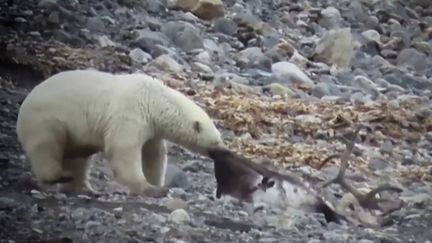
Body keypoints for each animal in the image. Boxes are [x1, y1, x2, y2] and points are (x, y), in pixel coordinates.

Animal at [16, 69, 226, 197]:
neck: (153, 99)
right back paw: (59, 176)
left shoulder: (151, 127)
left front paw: (157, 186)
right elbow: (124, 150)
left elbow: (154, 154)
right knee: (47, 146)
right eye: (216, 141)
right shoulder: (129, 113)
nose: (224, 151)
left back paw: (84, 188)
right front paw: (149, 188)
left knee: (78, 158)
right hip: (46, 119)